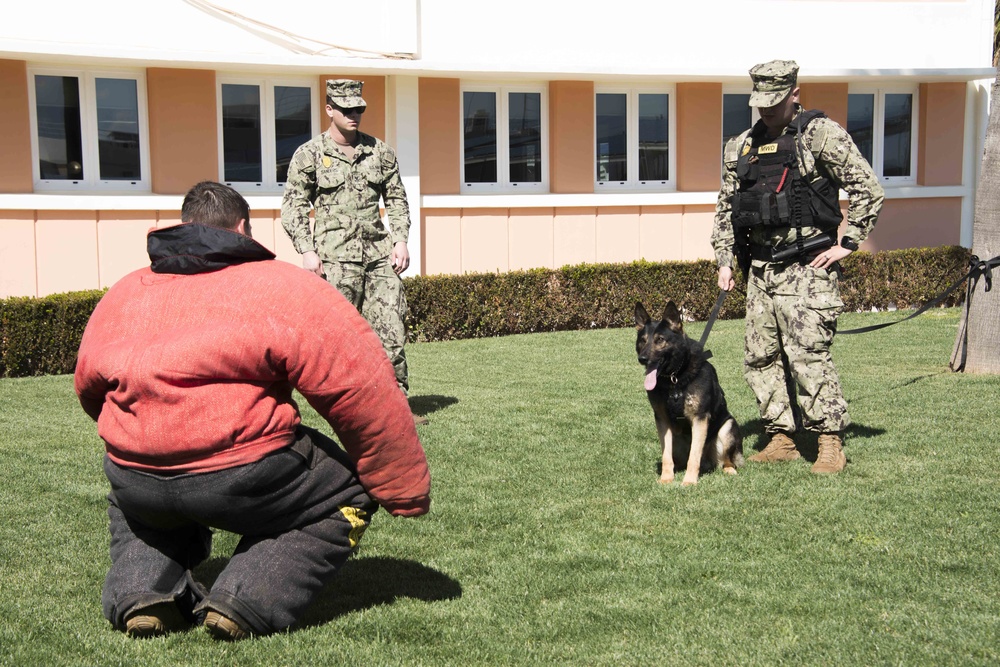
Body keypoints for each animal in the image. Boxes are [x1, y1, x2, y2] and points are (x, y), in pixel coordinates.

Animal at [632, 302, 744, 486]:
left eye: (660, 340)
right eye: (642, 340)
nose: (642, 359)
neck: (675, 378)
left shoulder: (700, 418)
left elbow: (694, 456)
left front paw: (689, 482)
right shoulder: (662, 421)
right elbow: (666, 456)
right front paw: (666, 478)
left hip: (727, 429)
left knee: (726, 461)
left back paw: (729, 469)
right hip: (676, 440)